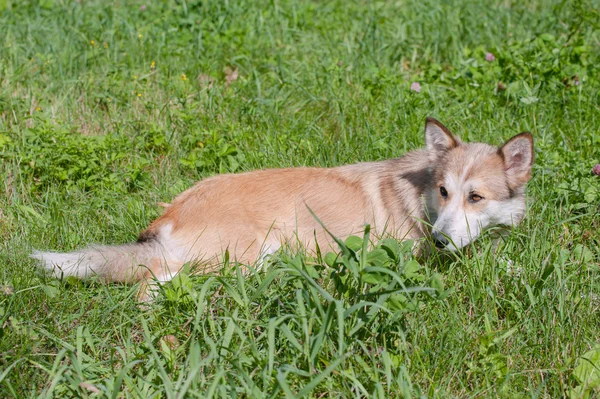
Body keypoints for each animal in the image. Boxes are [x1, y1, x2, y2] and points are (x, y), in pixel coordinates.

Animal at [31, 119, 536, 300]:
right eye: (444, 191)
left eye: (475, 197)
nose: (440, 238)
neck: (419, 197)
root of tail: (170, 213)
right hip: (240, 257)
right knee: (151, 282)